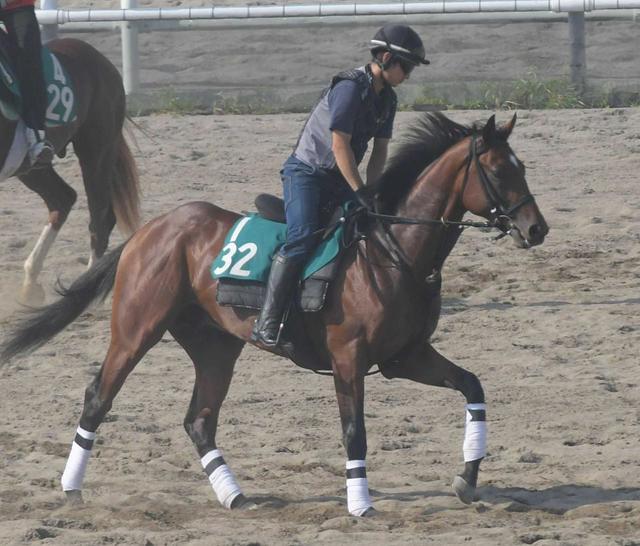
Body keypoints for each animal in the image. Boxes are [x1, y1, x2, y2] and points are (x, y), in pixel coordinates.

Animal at [0, 36, 140, 304]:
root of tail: (97, 57)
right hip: (31, 168)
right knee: (63, 198)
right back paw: (30, 283)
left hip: (96, 152)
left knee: (99, 219)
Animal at [1, 112, 548, 516]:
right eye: (500, 170)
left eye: (524, 165)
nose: (536, 228)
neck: (393, 251)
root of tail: (149, 230)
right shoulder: (349, 358)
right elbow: (354, 430)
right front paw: (360, 504)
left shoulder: (405, 356)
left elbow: (473, 387)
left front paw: (467, 478)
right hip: (136, 330)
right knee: (99, 397)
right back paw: (71, 487)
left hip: (216, 347)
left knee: (199, 420)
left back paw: (234, 496)